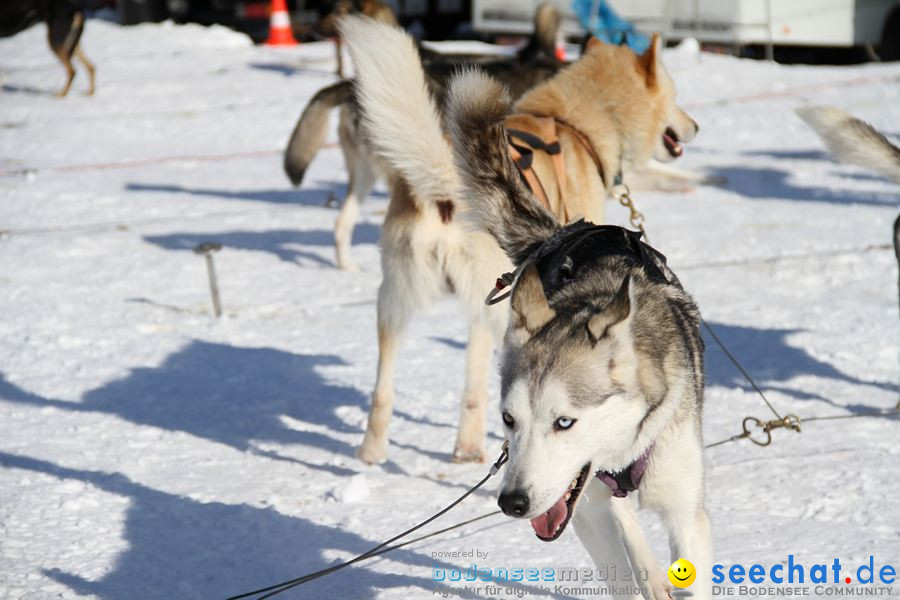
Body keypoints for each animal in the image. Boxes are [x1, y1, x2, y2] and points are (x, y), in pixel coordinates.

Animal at [342, 14, 700, 464]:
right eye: (676, 94)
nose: (694, 125)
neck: (575, 129)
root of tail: (444, 187)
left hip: (393, 300)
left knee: (382, 387)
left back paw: (371, 452)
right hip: (489, 309)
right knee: (476, 391)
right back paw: (471, 448)